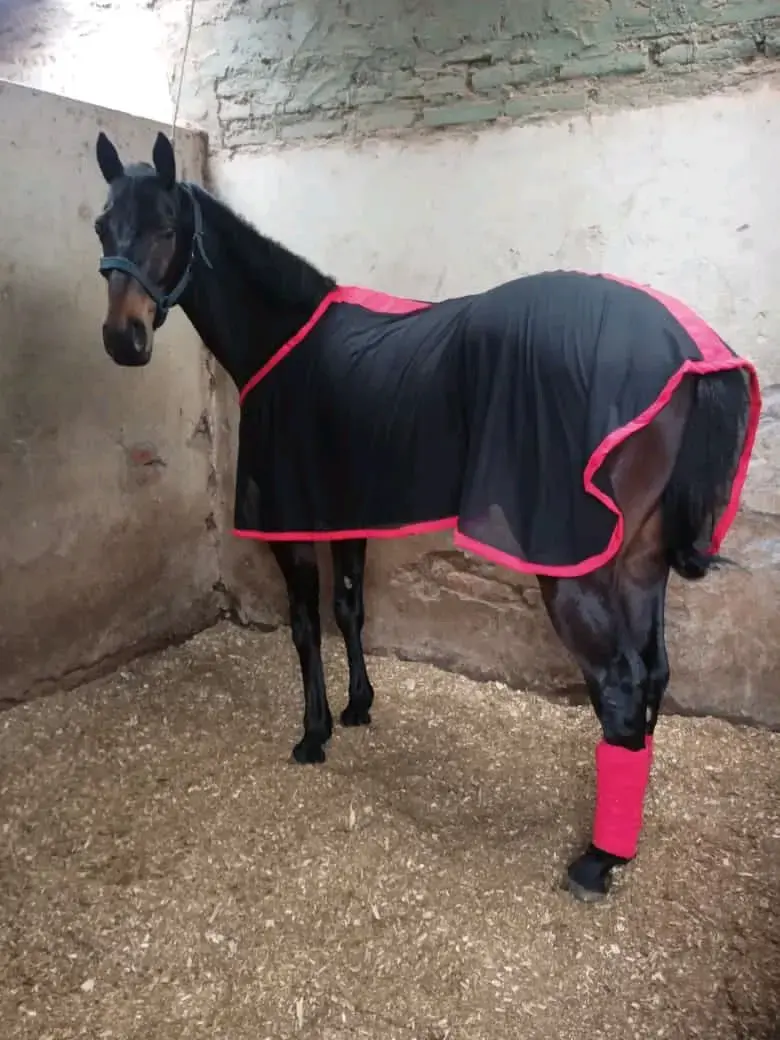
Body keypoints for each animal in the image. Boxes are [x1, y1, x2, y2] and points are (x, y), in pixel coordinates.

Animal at [92, 129, 761, 903]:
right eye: (103, 227)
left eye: (167, 228)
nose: (123, 340)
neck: (283, 339)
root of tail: (689, 351)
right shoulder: (347, 511)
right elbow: (349, 608)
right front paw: (359, 707)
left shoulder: (291, 523)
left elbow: (304, 624)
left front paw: (313, 734)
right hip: (643, 560)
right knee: (651, 674)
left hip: (580, 566)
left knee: (621, 687)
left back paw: (596, 861)